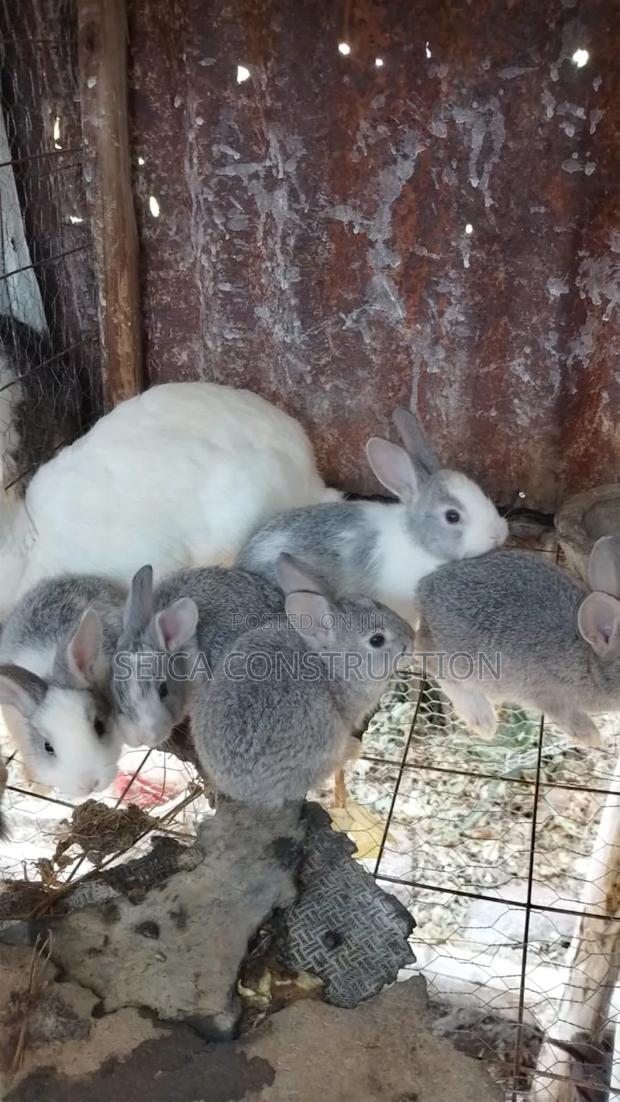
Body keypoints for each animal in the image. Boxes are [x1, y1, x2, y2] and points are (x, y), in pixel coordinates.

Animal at [190, 553, 415, 808]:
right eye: (377, 640)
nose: (411, 640)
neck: (329, 660)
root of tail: (242, 790)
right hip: (326, 736)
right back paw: (352, 748)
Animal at [414, 534, 620, 746]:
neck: (589, 662)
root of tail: (423, 590)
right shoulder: (548, 694)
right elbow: (567, 715)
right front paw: (591, 738)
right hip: (462, 663)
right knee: (427, 658)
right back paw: (483, 720)